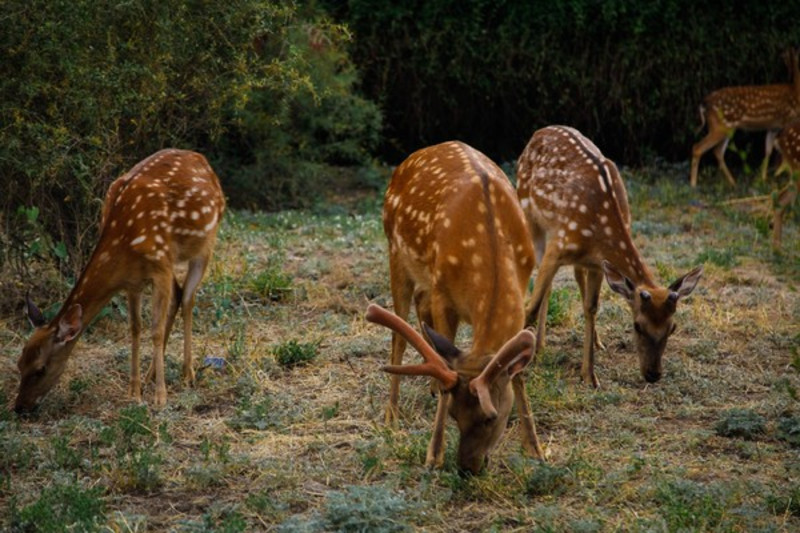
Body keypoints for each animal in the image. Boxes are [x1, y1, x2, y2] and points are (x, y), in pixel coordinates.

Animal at [16, 148, 228, 414]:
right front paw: (134, 391)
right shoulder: (133, 281)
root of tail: (202, 160)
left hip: (204, 245)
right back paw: (150, 376)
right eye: (19, 363)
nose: (19, 406)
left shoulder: (159, 266)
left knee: (188, 299)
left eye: (40, 369)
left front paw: (160, 398)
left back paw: (187, 374)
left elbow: (155, 330)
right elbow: (135, 328)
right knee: (178, 296)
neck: (124, 239)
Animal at [374, 141, 548, 474]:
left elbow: (518, 372)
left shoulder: (523, 287)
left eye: (492, 417)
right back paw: (391, 414)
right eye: (455, 414)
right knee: (399, 335)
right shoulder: (444, 294)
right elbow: (445, 366)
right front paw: (434, 454)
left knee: (421, 307)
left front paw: (535, 448)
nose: (467, 468)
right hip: (395, 250)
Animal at [520, 127, 700, 388]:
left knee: (572, 280)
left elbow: (591, 308)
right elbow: (531, 308)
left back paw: (581, 342)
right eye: (637, 326)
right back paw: (538, 346)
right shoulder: (559, 245)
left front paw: (589, 375)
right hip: (531, 216)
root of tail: (538, 133)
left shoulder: (597, 264)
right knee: (543, 284)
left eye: (673, 327)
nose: (653, 374)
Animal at [688, 47, 800, 188]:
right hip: (719, 126)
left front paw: (763, 179)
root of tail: (704, 103)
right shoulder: (786, 122)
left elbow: (768, 150)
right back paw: (693, 184)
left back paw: (733, 182)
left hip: (727, 128)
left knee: (717, 151)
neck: (795, 91)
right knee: (698, 148)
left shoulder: (773, 127)